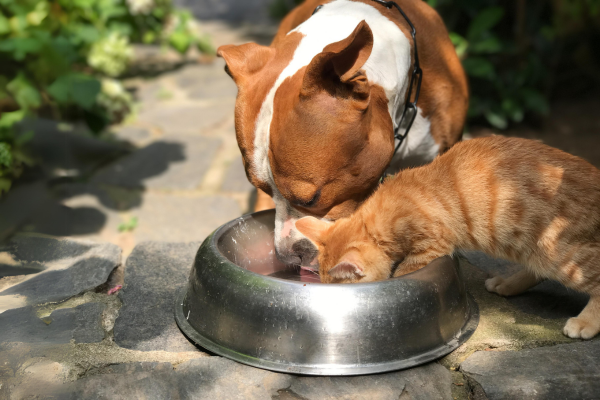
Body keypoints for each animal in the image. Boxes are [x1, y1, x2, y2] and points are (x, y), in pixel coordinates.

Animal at [298, 136, 600, 340]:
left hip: (556, 251)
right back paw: (508, 283)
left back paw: (586, 323)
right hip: (529, 247)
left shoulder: (431, 246)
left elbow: (404, 271)